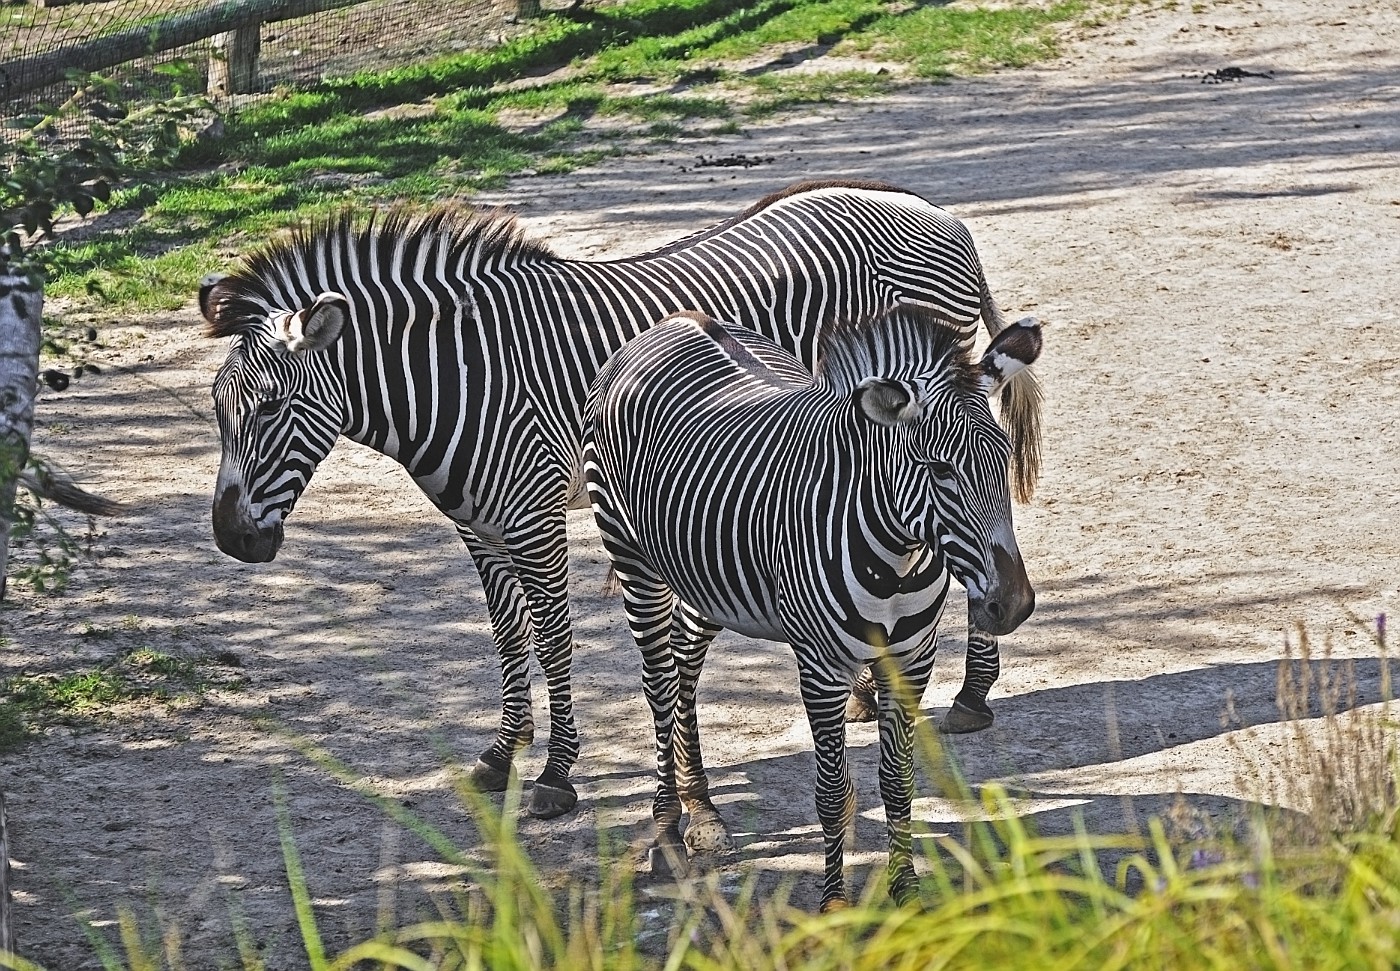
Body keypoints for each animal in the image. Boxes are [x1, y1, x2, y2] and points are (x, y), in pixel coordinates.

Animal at [197, 180, 1041, 822]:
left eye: (269, 407)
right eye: (216, 405)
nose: (233, 538)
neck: (456, 374)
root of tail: (934, 209)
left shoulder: (532, 516)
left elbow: (553, 639)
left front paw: (554, 773)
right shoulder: (477, 526)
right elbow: (507, 638)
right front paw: (502, 752)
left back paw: (971, 693)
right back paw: (875, 691)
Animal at [579, 306, 1041, 912]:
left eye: (1004, 457)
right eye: (941, 469)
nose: (1013, 606)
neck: (898, 555)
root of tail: (674, 321)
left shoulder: (911, 660)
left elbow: (897, 782)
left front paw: (907, 896)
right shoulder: (821, 670)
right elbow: (832, 792)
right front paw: (835, 906)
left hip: (708, 579)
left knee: (686, 663)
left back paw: (702, 808)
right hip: (635, 560)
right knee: (658, 682)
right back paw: (666, 831)